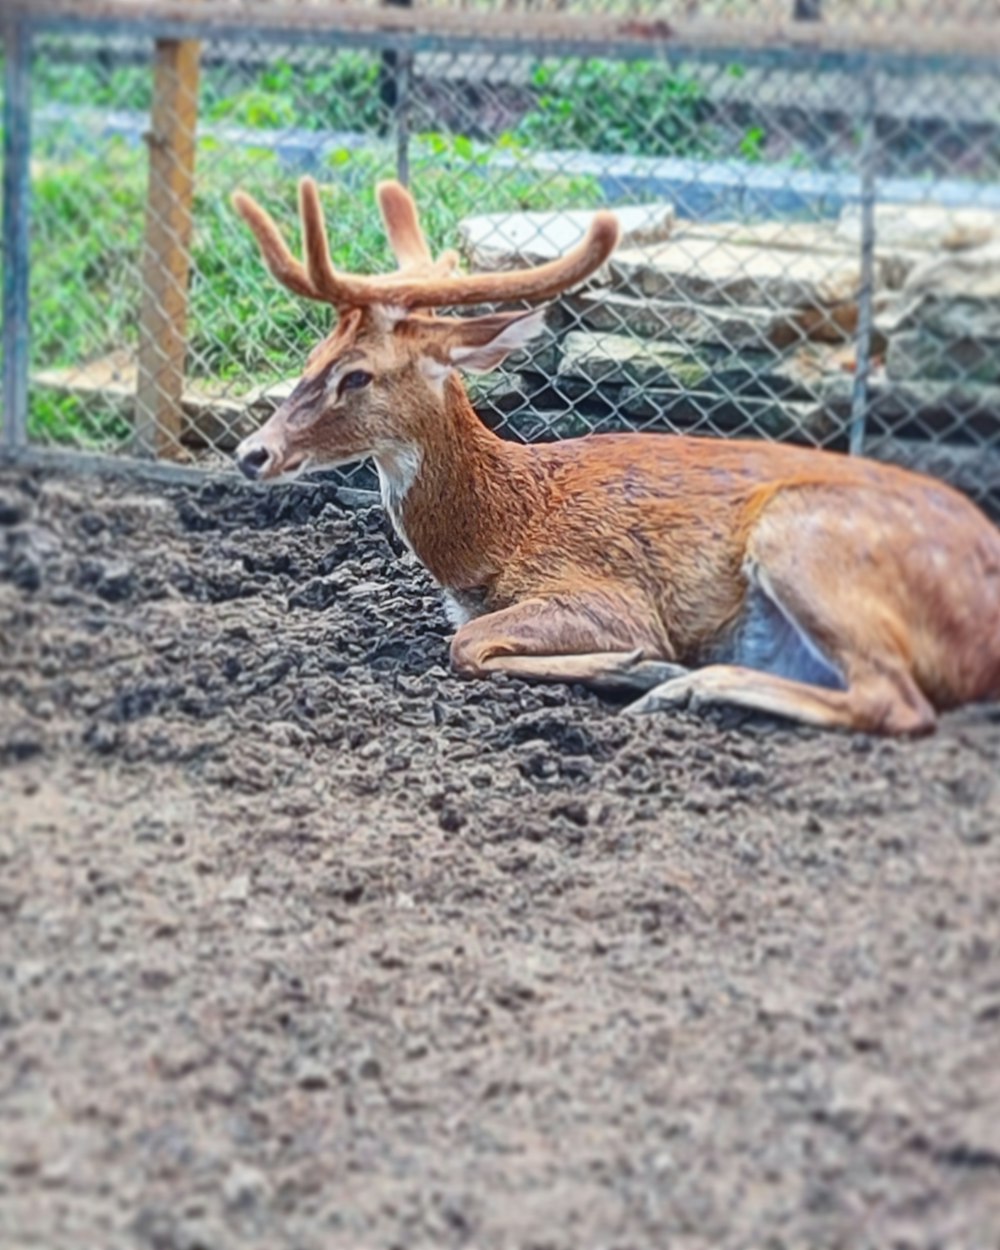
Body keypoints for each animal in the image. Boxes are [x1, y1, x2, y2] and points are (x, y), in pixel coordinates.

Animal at [235, 176, 1000, 730]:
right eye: (313, 355)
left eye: (357, 375)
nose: (251, 452)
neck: (497, 535)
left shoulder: (607, 593)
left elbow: (467, 645)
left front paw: (641, 666)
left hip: (805, 533)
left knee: (895, 701)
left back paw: (683, 685)